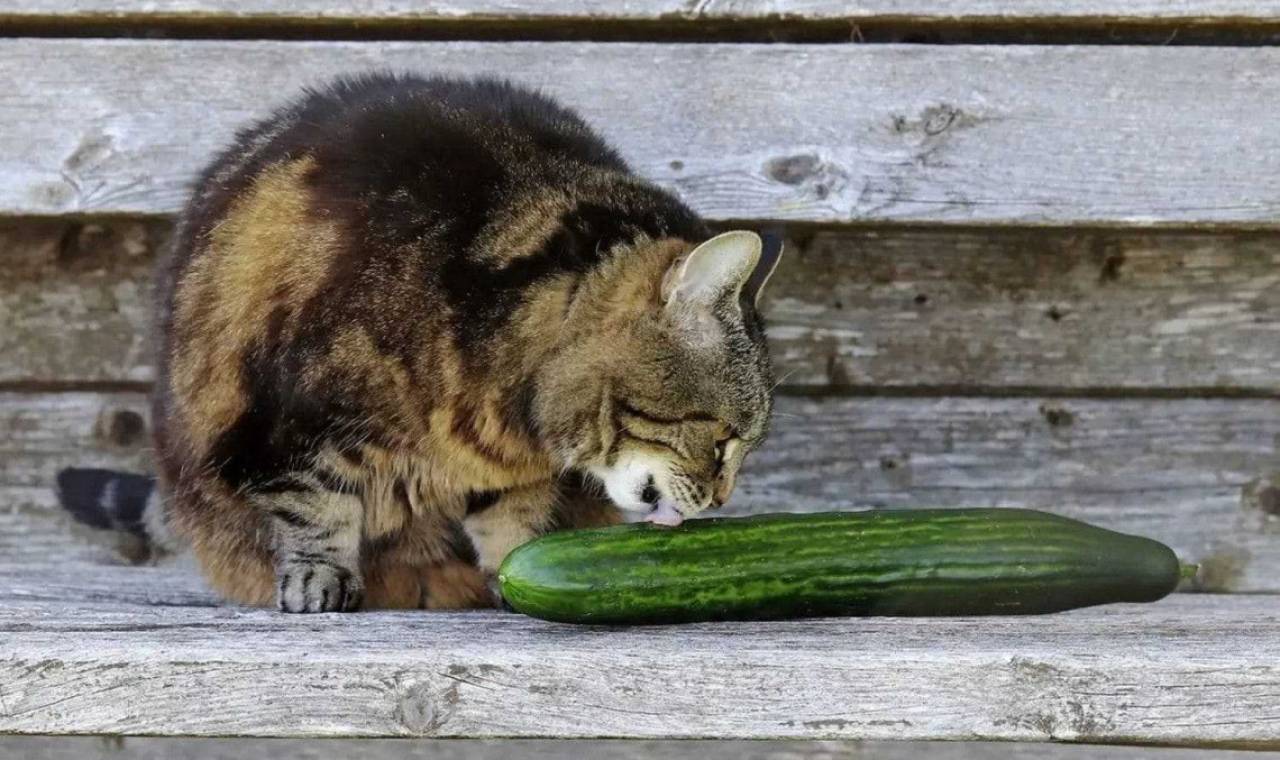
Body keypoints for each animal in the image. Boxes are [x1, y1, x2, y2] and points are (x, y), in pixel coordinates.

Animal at [57, 72, 778, 609]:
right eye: (723, 440)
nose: (722, 500)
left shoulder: (504, 470)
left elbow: (512, 521)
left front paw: (515, 567)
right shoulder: (286, 425)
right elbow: (313, 505)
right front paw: (319, 576)